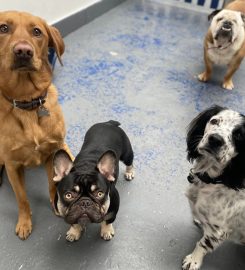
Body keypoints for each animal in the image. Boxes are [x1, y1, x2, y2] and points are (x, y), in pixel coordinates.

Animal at [0, 10, 72, 239]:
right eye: (3, 28)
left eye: (37, 32)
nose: (23, 51)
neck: (27, 102)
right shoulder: (12, 166)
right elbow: (22, 198)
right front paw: (25, 222)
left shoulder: (52, 153)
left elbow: (52, 184)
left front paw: (56, 204)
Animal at [183, 105, 245, 270]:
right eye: (214, 121)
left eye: (239, 135)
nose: (215, 139)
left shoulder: (218, 229)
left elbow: (203, 243)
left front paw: (193, 260)